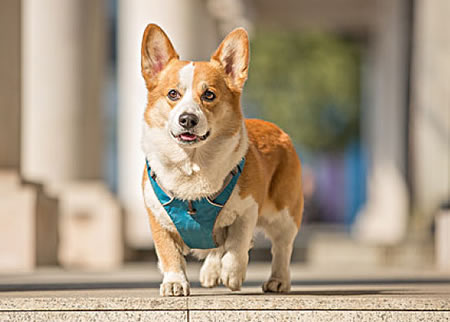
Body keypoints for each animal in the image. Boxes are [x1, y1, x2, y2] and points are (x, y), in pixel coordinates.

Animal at [140, 23, 302, 296]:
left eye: (209, 95)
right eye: (172, 94)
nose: (188, 119)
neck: (192, 163)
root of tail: (278, 130)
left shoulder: (247, 210)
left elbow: (237, 246)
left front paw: (233, 274)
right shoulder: (157, 217)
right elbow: (169, 254)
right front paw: (174, 283)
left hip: (285, 214)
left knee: (281, 246)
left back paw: (278, 280)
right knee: (216, 246)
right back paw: (211, 272)